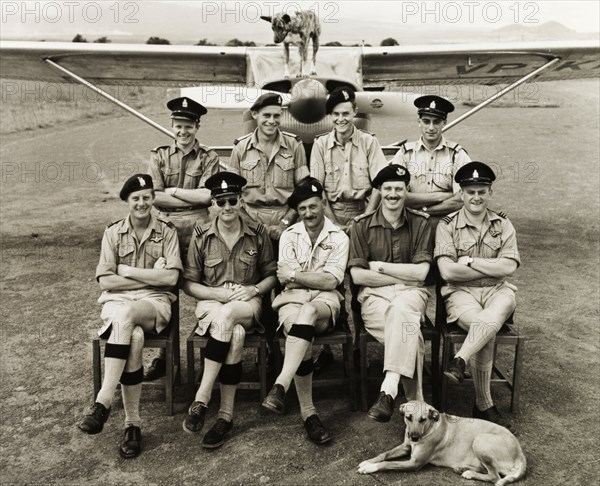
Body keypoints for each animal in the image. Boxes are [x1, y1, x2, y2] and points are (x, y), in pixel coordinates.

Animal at [356, 400, 524, 484]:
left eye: (423, 419)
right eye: (408, 417)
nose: (414, 437)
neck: (429, 428)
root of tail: (520, 453)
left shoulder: (414, 463)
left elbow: (387, 463)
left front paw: (370, 468)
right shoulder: (405, 447)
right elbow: (384, 455)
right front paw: (368, 461)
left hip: (480, 440)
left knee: (495, 477)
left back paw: (469, 473)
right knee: (488, 471)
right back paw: (463, 468)